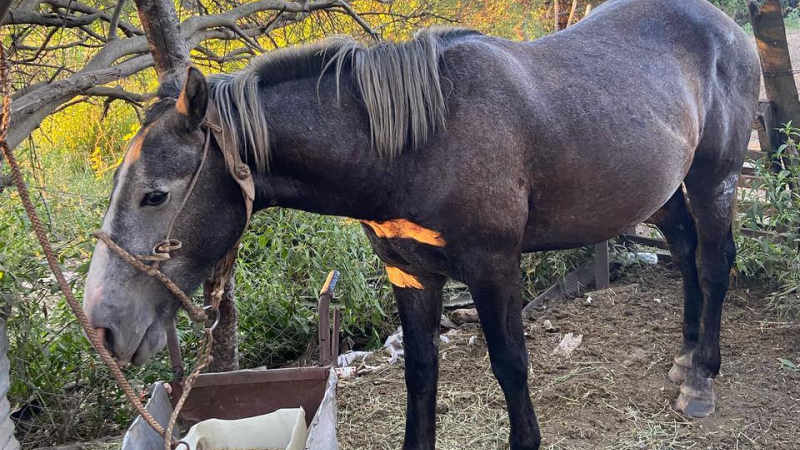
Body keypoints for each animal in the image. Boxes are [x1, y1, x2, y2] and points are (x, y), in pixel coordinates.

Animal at [82, 0, 760, 448]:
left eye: (154, 196)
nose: (103, 326)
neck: (421, 141)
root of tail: (726, 26)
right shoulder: (409, 274)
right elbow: (419, 373)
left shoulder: (492, 268)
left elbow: (510, 364)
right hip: (660, 189)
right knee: (684, 249)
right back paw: (686, 355)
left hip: (716, 178)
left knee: (712, 263)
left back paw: (702, 377)